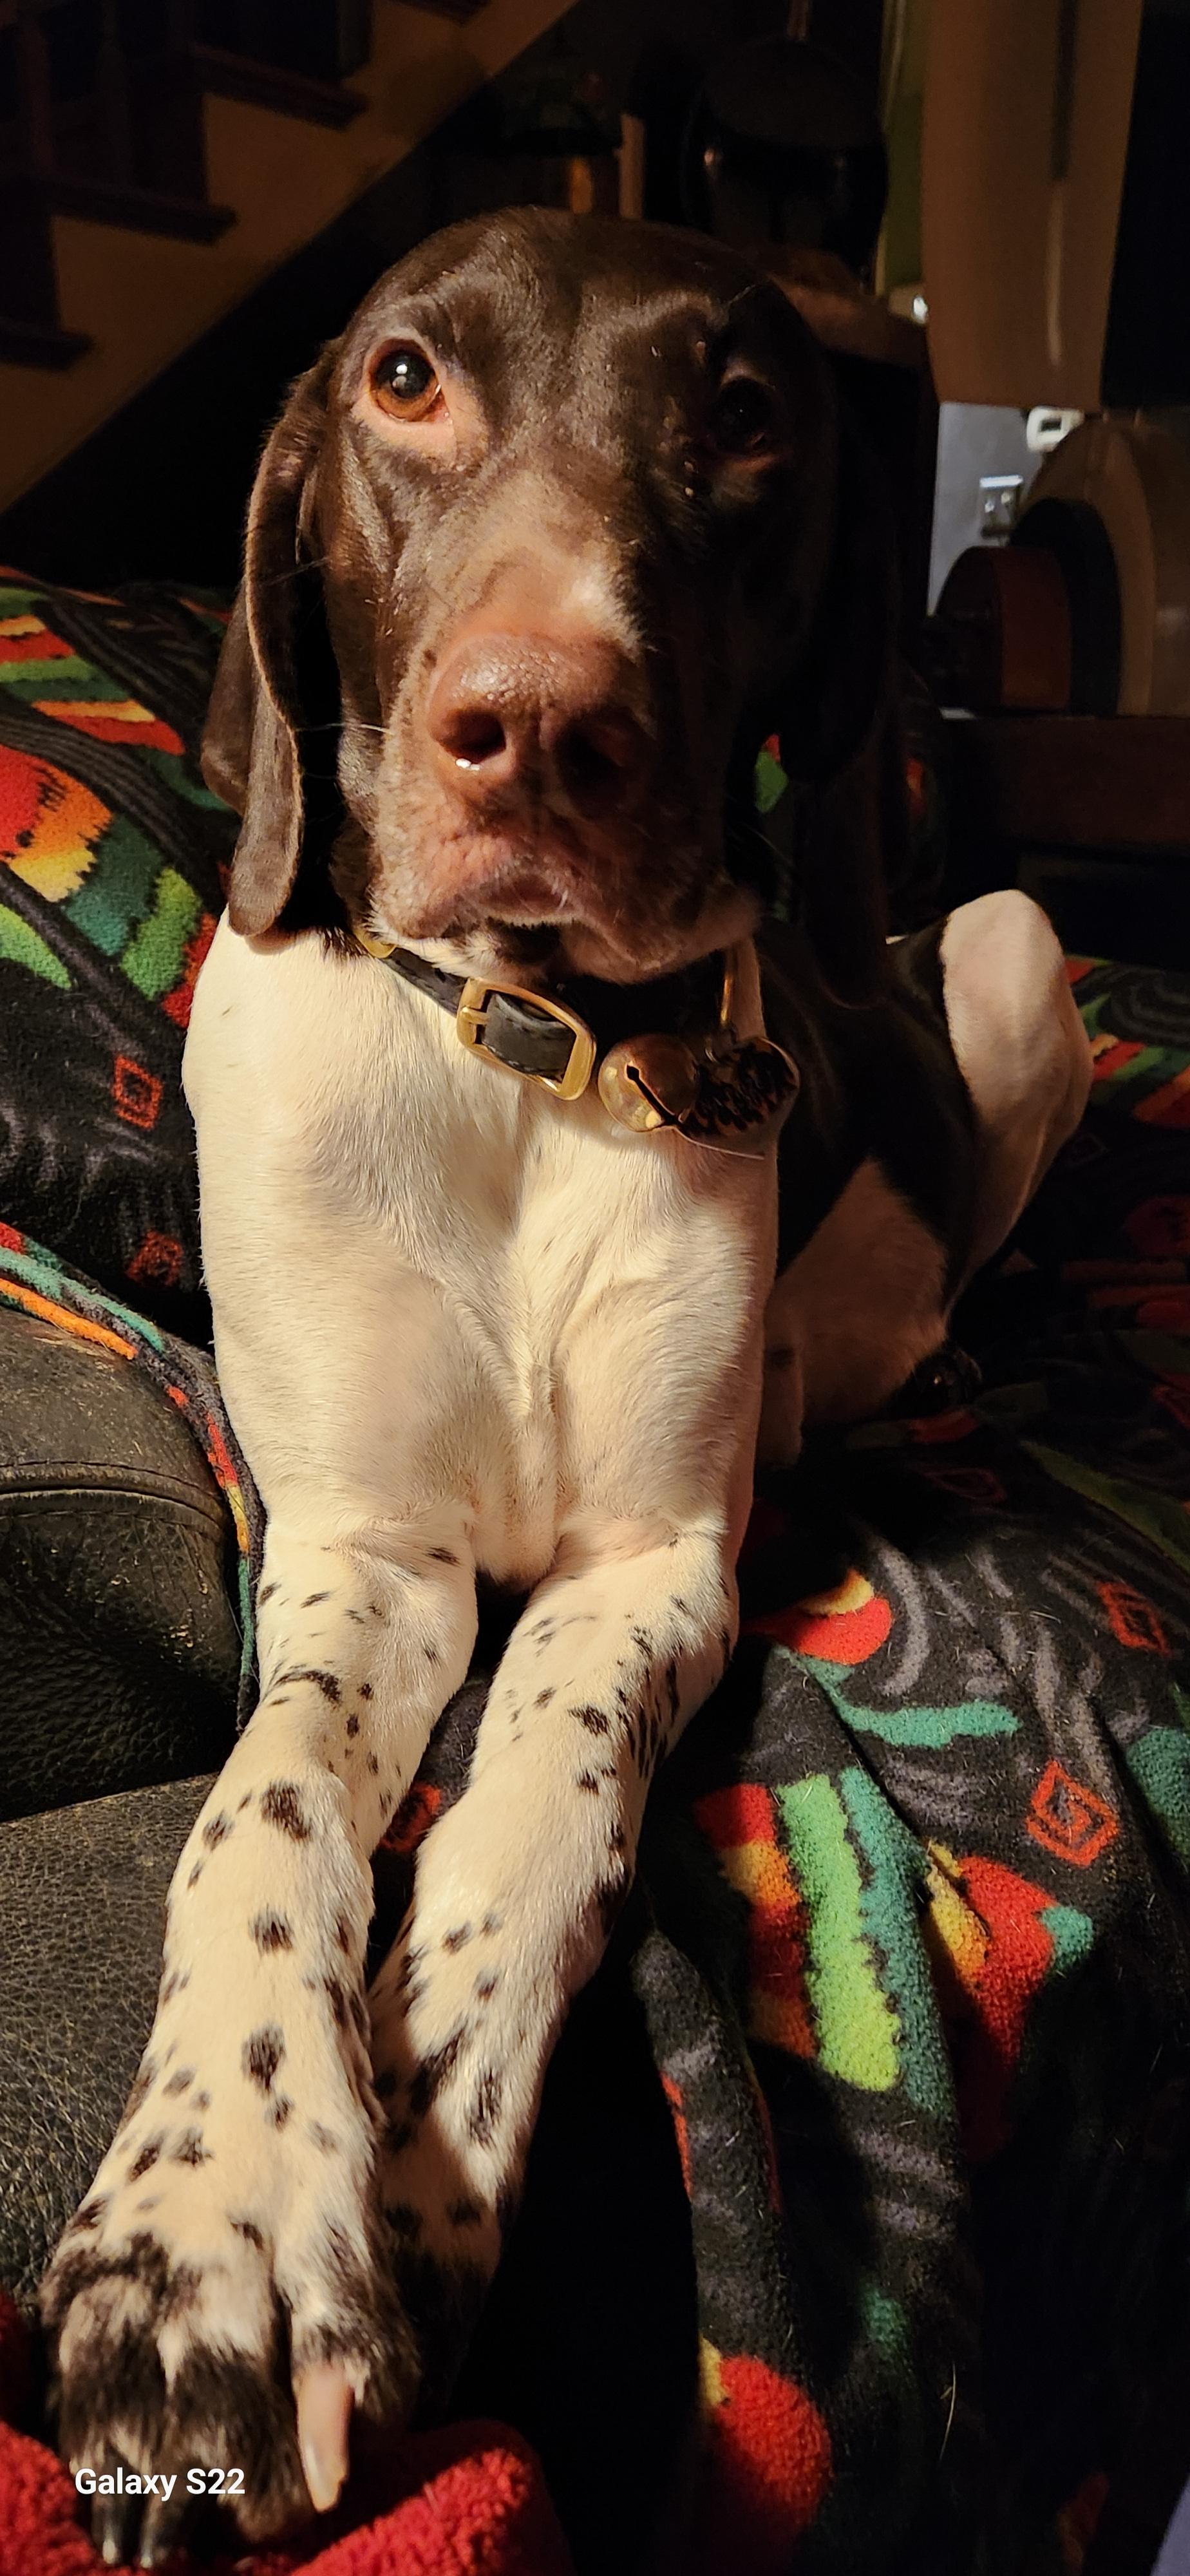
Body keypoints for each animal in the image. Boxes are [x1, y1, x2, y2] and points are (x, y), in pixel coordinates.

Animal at [41, 208, 1092, 2566]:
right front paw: (220, 2220)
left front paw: (421, 2164)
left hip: (1003, 941)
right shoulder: (364, 1553)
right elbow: (261, 1806)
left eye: (745, 413)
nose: (533, 732)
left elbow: (538, 1803)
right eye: (404, 379)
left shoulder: (647, 1571)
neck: (527, 1061)